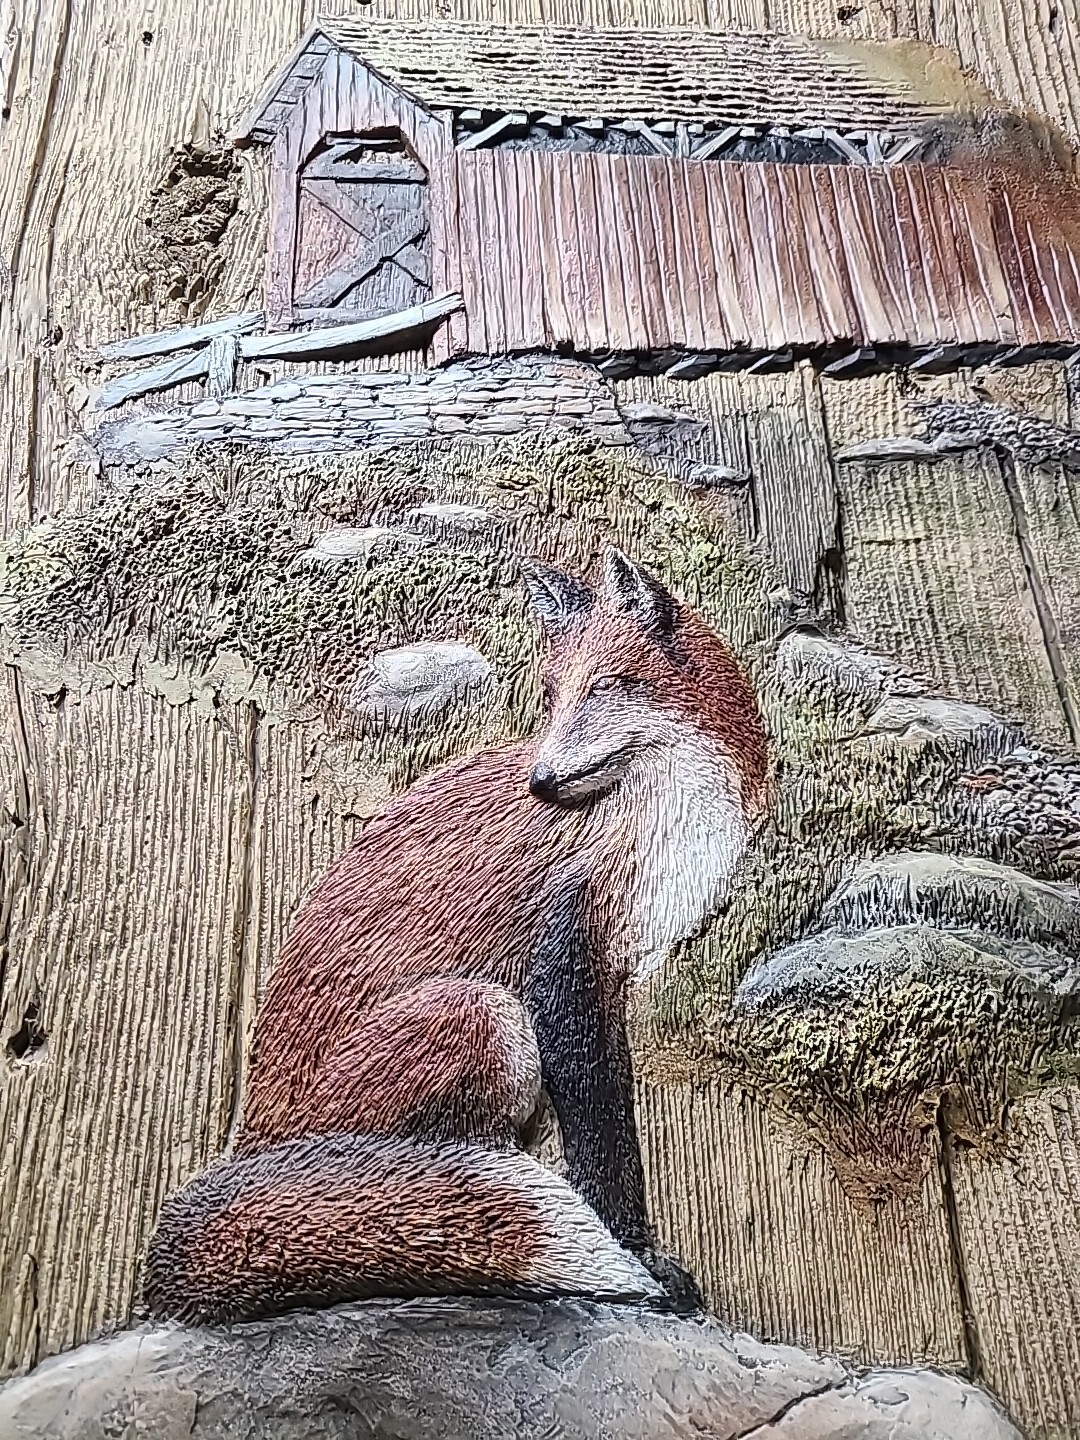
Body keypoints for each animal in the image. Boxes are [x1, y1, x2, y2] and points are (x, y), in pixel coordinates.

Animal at [143, 547, 770, 1324]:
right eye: (551, 695)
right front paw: (636, 1254)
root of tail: (248, 1135)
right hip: (486, 1016)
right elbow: (602, 1136)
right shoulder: (563, 959)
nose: (541, 782)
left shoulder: (621, 969)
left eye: (607, 685)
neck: (673, 817)